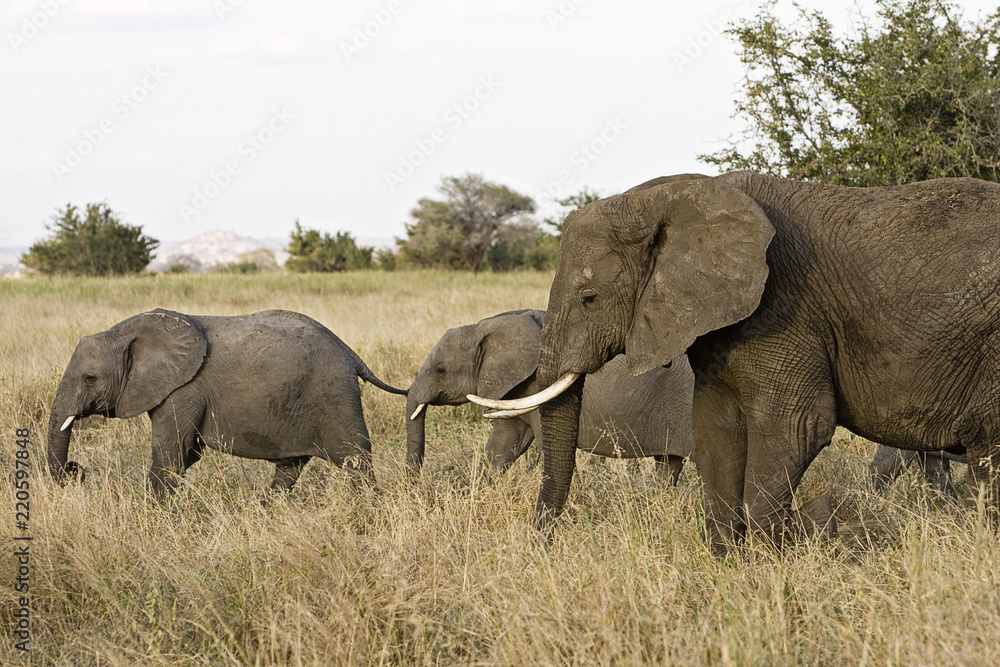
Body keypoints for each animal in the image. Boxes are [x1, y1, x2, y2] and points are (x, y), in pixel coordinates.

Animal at [47, 308, 407, 496]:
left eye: (89, 379)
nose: (76, 470)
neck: (126, 333)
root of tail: (349, 351)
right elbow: (187, 453)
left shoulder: (184, 390)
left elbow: (171, 454)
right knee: (290, 468)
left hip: (334, 395)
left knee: (356, 460)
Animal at [405, 309, 694, 481]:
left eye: (441, 370)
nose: (414, 484)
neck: (486, 325)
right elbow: (501, 447)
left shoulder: (537, 389)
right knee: (669, 464)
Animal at [470, 171, 1000, 555]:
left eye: (589, 297)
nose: (541, 546)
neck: (674, 196)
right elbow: (715, 428)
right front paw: (727, 563)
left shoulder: (786, 309)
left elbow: (797, 426)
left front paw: (774, 559)